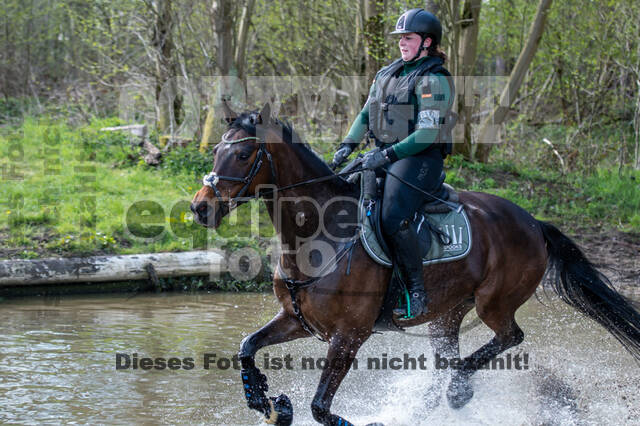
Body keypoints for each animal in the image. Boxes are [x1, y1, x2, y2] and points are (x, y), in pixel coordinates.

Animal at [190, 104, 640, 426]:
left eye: (243, 153)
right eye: (215, 150)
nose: (200, 208)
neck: (318, 235)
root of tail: (534, 223)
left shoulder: (349, 336)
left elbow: (320, 407)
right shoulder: (297, 320)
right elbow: (247, 346)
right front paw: (268, 404)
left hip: (494, 302)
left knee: (507, 337)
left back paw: (459, 388)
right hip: (447, 313)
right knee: (447, 362)